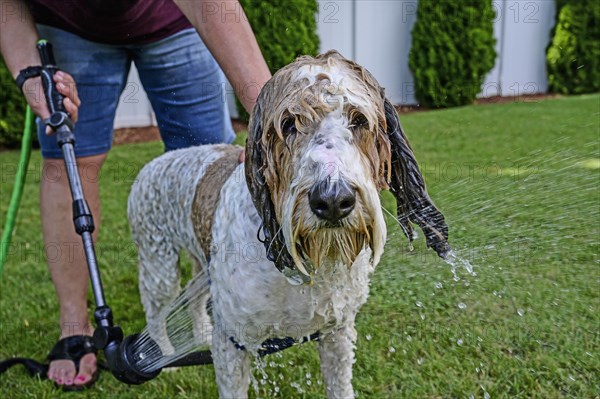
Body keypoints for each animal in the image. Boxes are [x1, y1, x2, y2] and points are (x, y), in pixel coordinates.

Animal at [130, 51, 450, 398]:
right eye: (288, 124)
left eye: (359, 121)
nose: (333, 200)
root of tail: (149, 166)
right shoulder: (232, 340)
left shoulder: (337, 331)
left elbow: (340, 386)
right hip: (158, 264)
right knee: (155, 312)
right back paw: (164, 358)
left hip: (203, 266)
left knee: (191, 293)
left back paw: (199, 335)